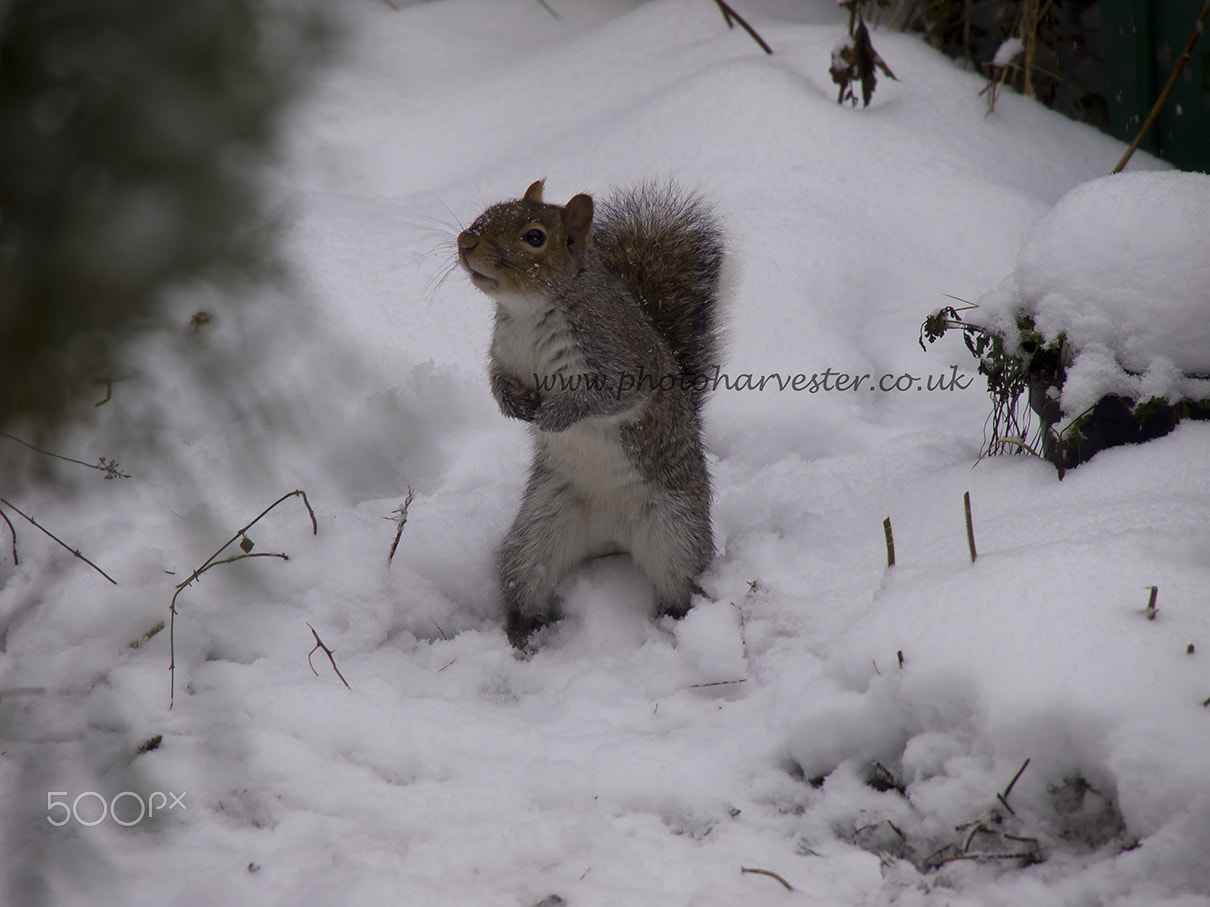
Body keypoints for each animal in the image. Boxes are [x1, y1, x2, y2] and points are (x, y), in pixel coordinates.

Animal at [457, 179, 724, 648]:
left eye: (534, 237)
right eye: (483, 214)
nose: (465, 241)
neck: (529, 313)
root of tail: (611, 537)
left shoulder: (621, 357)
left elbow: (607, 397)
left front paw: (556, 415)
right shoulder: (505, 354)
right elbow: (497, 380)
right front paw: (513, 405)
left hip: (675, 529)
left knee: (681, 582)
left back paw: (678, 624)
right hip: (541, 525)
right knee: (526, 576)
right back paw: (526, 631)